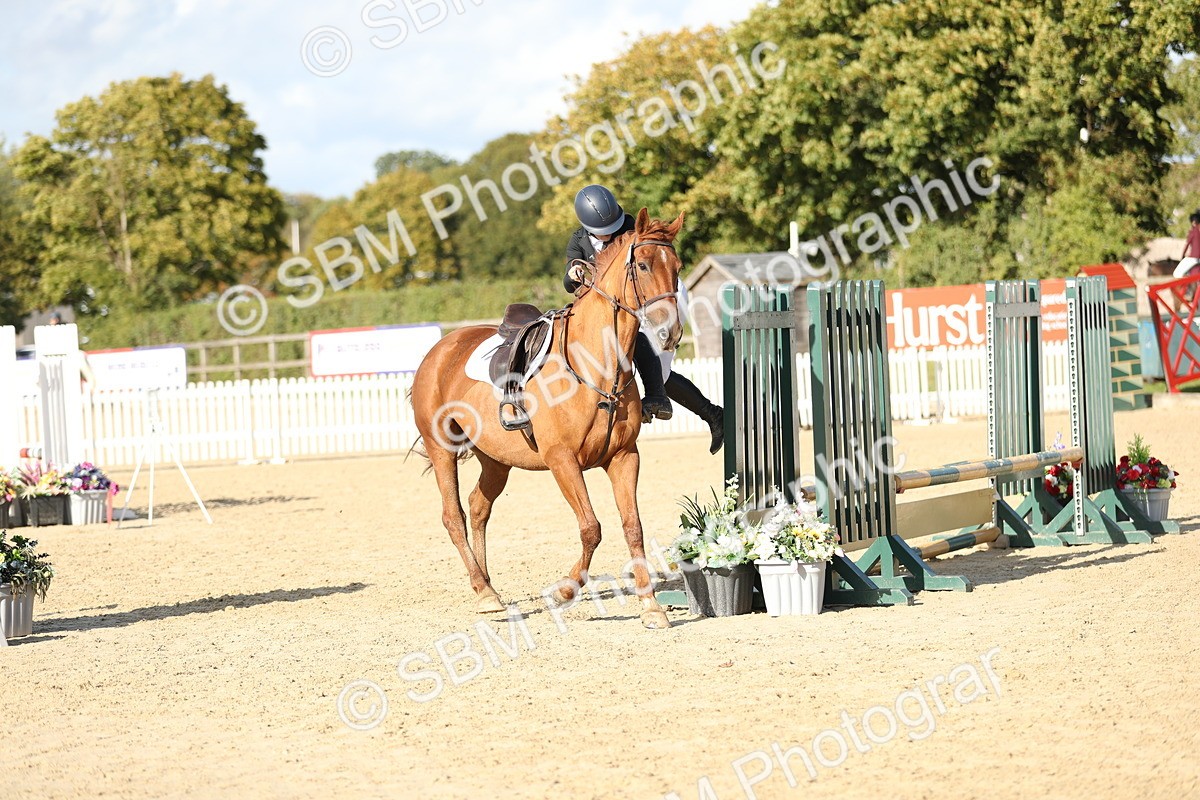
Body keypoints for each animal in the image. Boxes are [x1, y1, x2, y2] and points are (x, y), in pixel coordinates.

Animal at [410, 208, 685, 629]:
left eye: (678, 268)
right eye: (641, 265)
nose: (670, 333)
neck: (595, 364)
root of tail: (439, 349)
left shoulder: (624, 457)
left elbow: (632, 527)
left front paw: (651, 606)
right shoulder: (562, 460)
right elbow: (591, 528)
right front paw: (565, 591)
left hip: (497, 459)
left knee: (478, 506)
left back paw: (487, 585)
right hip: (441, 447)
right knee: (453, 515)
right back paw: (484, 592)